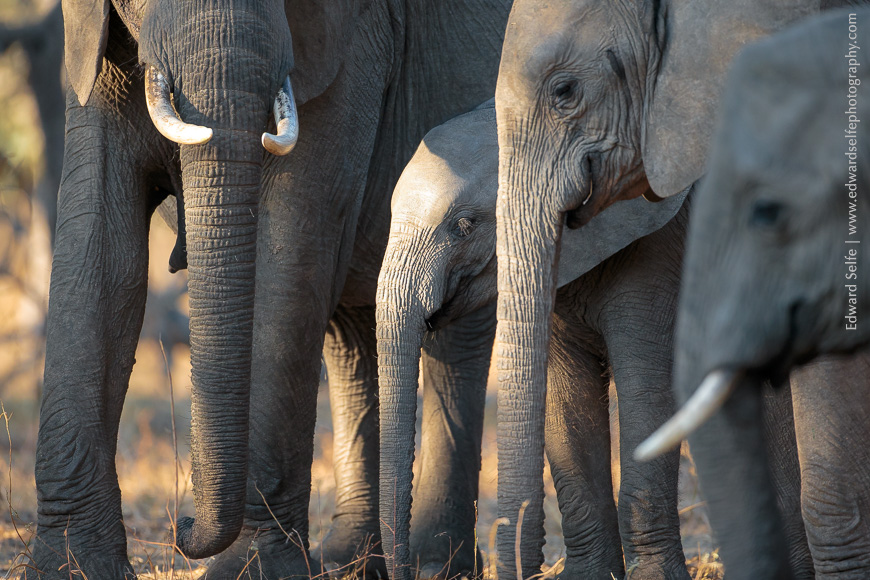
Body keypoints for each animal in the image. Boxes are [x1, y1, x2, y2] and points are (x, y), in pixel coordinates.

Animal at [33, 0, 510, 577]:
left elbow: (289, 246)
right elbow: (98, 252)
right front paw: (71, 566)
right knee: (353, 333)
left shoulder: (349, 35)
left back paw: (435, 564)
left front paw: (253, 568)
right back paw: (349, 561)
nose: (182, 526)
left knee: (452, 343)